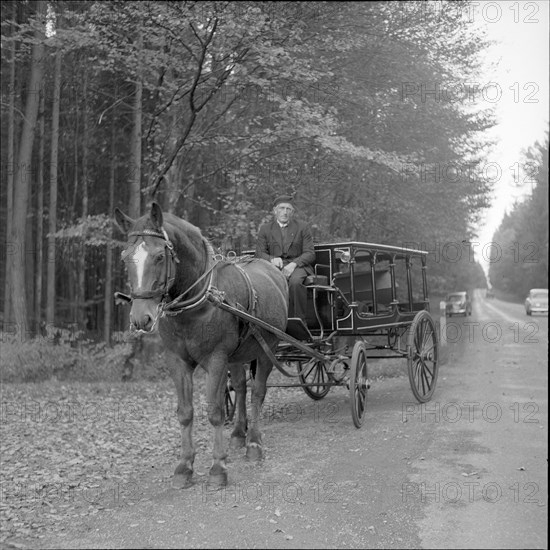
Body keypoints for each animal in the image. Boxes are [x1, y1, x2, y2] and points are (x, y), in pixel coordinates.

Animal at [115, 202, 292, 488]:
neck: (198, 303)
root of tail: (273, 269)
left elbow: (215, 410)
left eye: (159, 257)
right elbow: (186, 412)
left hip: (268, 347)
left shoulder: (216, 358)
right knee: (241, 387)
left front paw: (218, 467)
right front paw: (184, 466)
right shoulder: (178, 361)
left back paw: (254, 443)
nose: (141, 318)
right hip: (239, 354)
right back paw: (238, 434)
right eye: (125, 257)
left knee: (257, 392)